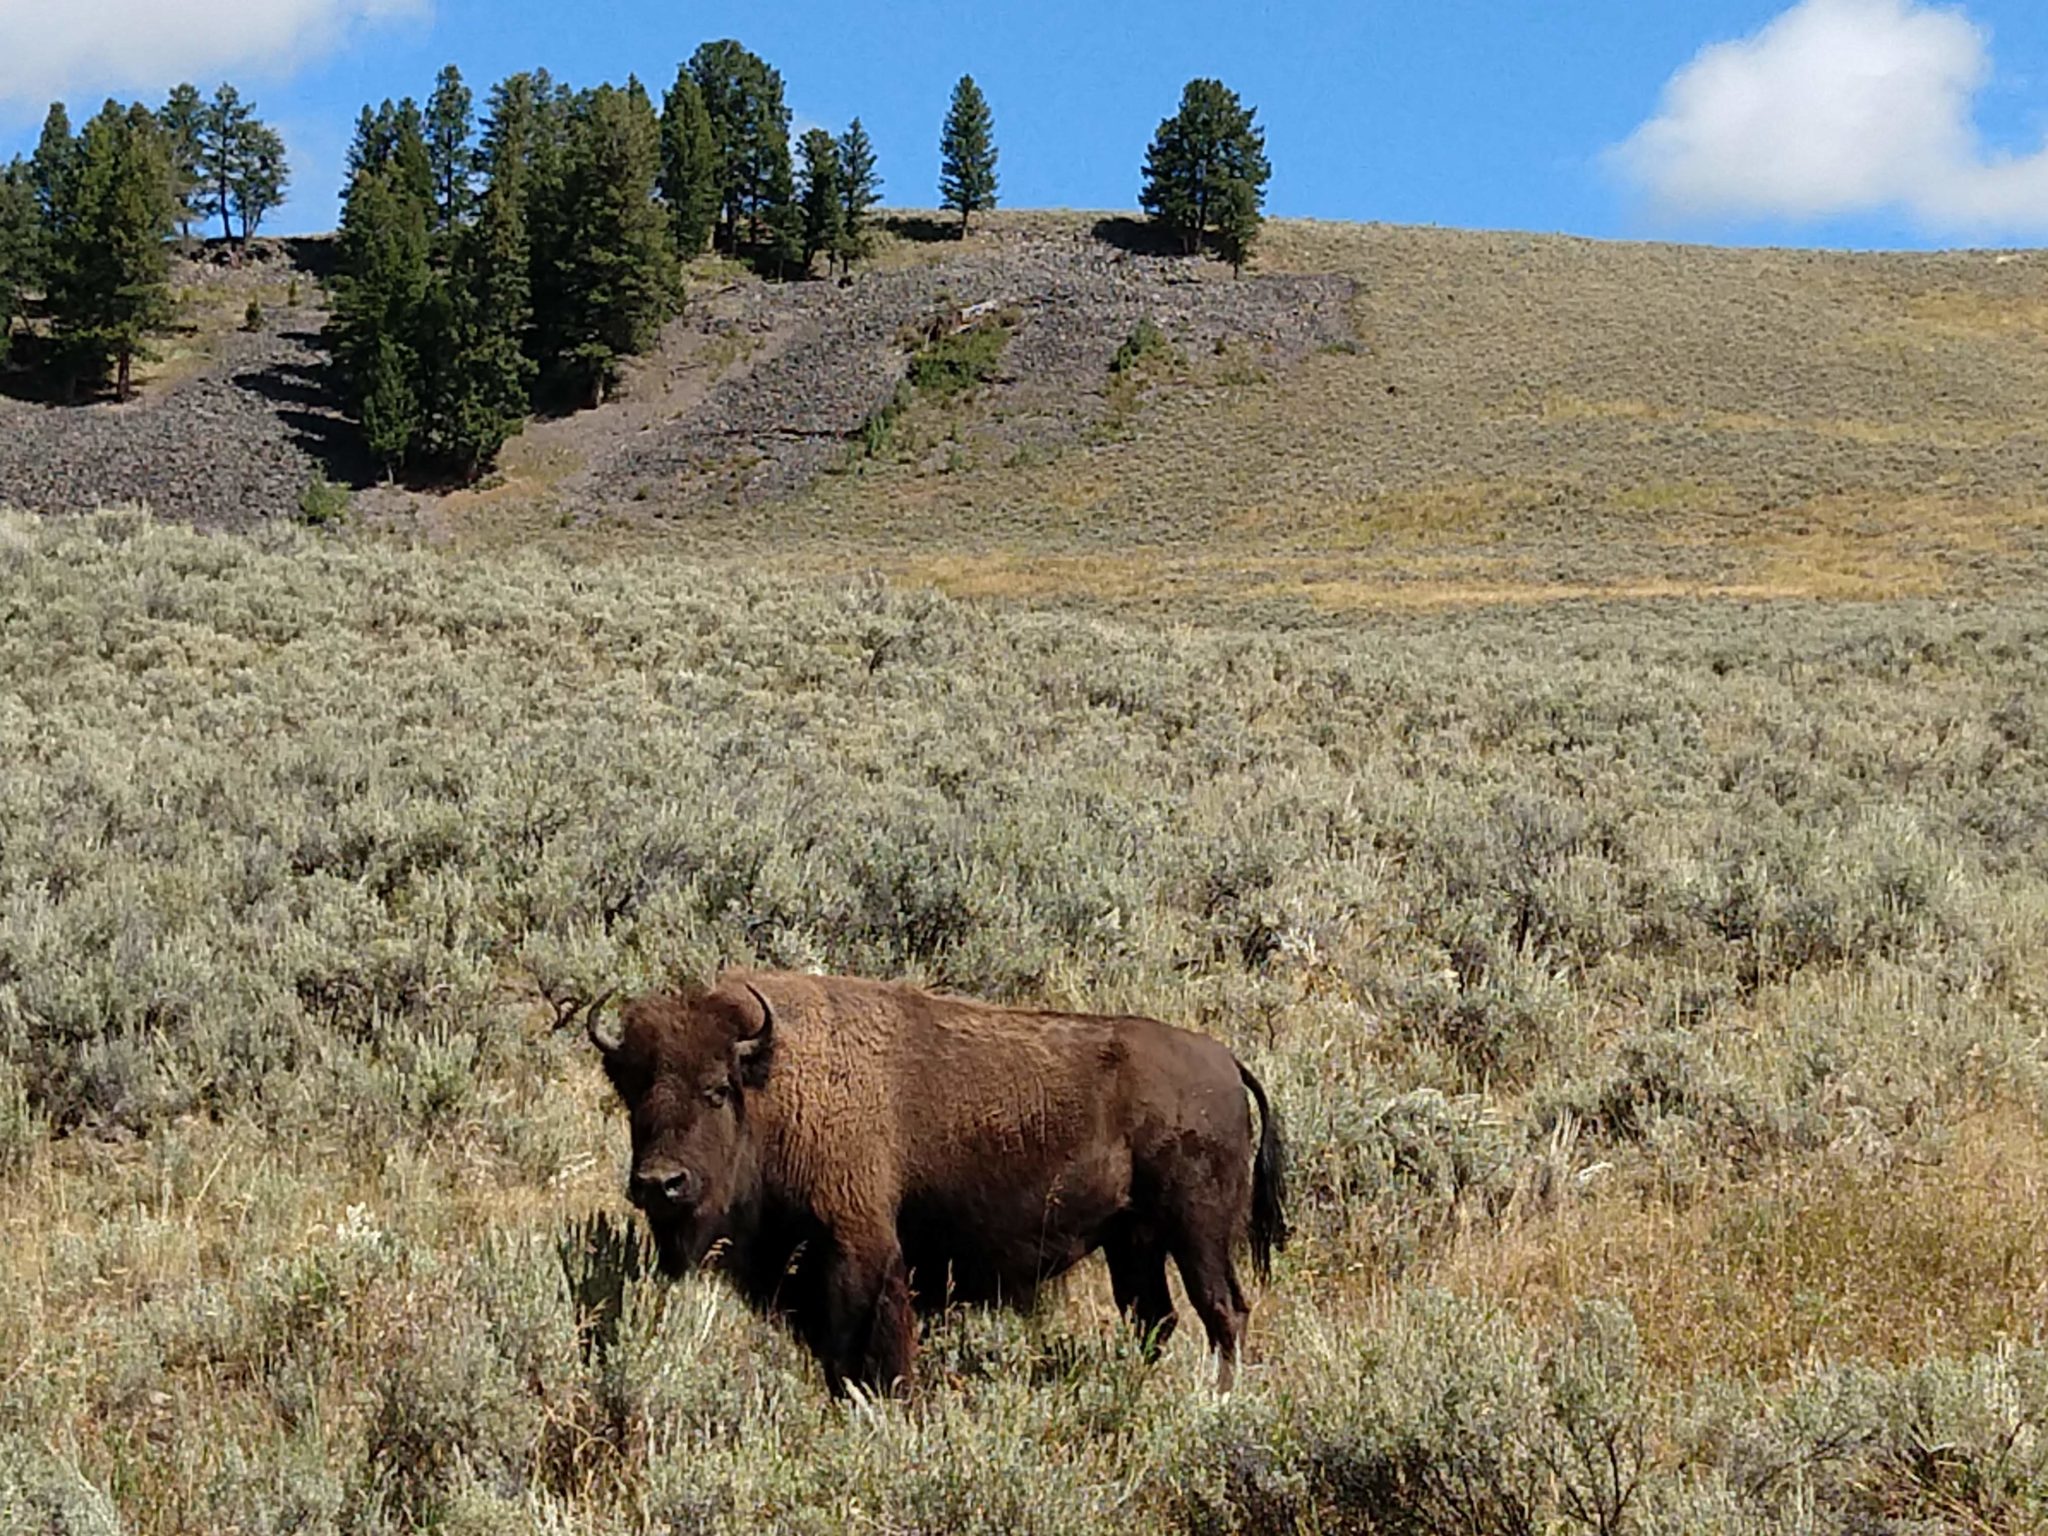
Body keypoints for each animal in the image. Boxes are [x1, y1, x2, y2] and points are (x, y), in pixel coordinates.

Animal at [585, 978, 1277, 1400]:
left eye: (716, 1090)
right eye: (635, 1092)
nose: (660, 1184)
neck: (775, 1086)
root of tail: (1224, 1061)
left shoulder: (860, 1252)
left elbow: (873, 1349)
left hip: (1198, 1232)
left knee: (1222, 1311)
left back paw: (1219, 1402)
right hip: (1132, 1242)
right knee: (1153, 1318)